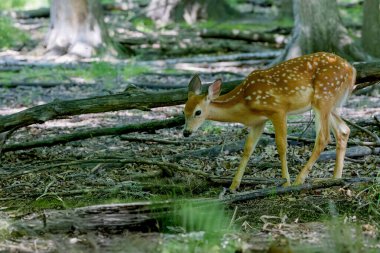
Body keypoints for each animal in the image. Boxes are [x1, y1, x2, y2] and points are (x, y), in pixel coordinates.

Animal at [184, 52, 356, 191]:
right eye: (183, 111)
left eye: (198, 112)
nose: (186, 132)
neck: (245, 101)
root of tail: (351, 70)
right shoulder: (259, 122)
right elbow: (248, 149)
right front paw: (233, 185)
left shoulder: (277, 109)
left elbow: (281, 145)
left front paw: (285, 182)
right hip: (331, 103)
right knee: (343, 130)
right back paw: (335, 178)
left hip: (324, 95)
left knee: (324, 137)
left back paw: (299, 180)